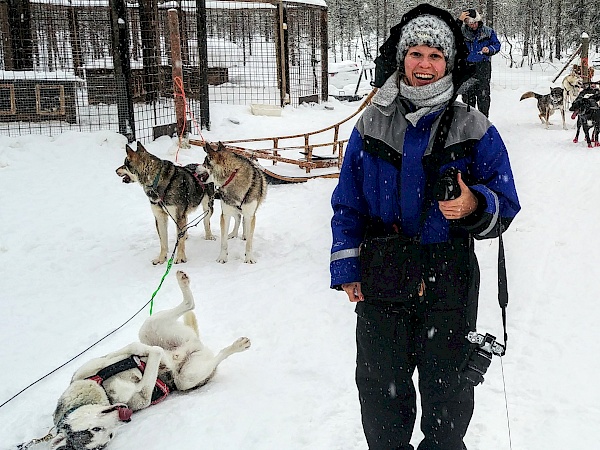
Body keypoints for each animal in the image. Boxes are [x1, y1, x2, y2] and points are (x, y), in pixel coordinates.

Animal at [48, 270, 251, 450]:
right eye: (108, 434)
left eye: (97, 428)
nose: (125, 416)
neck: (102, 390)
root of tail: (195, 343)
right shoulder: (143, 395)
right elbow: (152, 362)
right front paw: (155, 355)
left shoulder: (93, 365)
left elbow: (129, 349)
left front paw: (141, 352)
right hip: (186, 378)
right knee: (214, 355)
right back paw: (236, 346)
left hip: (148, 328)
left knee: (187, 305)